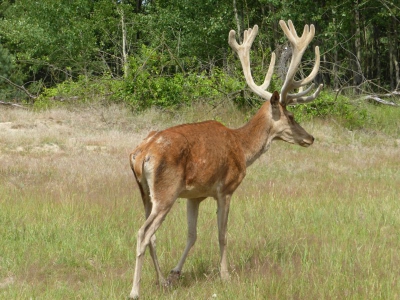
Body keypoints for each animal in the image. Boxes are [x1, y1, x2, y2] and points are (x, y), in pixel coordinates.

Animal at [128, 19, 322, 298]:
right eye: (291, 116)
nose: (310, 137)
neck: (242, 148)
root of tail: (141, 154)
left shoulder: (195, 195)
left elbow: (192, 235)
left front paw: (176, 273)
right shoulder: (226, 188)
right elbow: (222, 234)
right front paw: (225, 275)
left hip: (145, 193)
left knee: (151, 234)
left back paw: (162, 280)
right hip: (166, 192)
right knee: (143, 233)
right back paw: (135, 290)